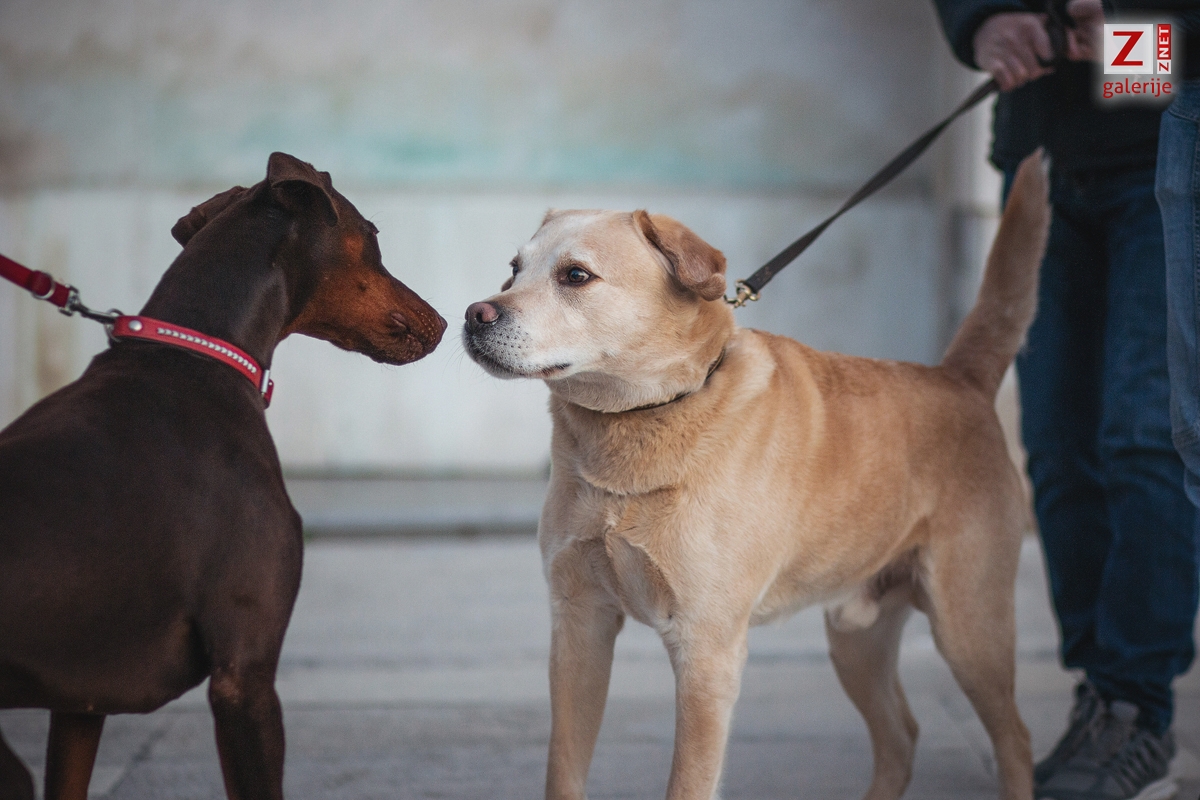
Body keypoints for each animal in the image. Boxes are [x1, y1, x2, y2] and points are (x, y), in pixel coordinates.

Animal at [463, 152, 1050, 800]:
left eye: (575, 275)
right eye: (513, 270)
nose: (474, 313)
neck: (640, 425)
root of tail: (960, 379)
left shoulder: (706, 648)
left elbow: (689, 782)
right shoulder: (578, 624)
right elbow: (564, 769)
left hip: (968, 629)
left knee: (1014, 739)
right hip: (857, 638)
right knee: (902, 735)